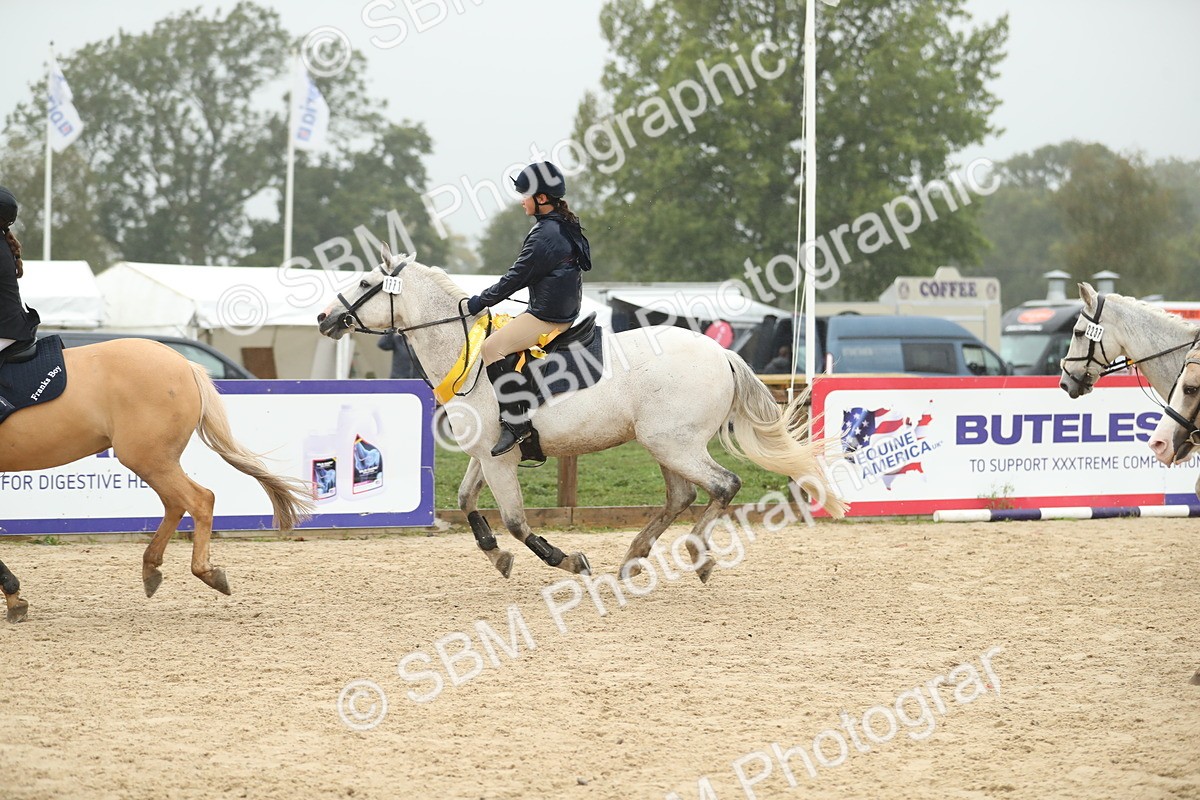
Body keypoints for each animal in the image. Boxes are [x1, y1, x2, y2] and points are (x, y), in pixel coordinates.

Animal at [0, 338, 314, 620]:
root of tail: (184, 364)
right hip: (155, 460)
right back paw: (151, 567)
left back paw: (205, 572)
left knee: (199, 499)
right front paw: (15, 599)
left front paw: (14, 597)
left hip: (149, 459)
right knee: (176, 503)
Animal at [317, 246, 847, 582]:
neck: (465, 352)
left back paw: (697, 555)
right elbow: (467, 501)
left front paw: (567, 560)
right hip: (666, 446)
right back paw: (634, 557)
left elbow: (516, 521)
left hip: (674, 444)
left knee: (723, 486)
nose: (324, 318)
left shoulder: (499, 461)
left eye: (364, 283)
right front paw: (497, 557)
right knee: (682, 495)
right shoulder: (486, 456)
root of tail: (721, 353)